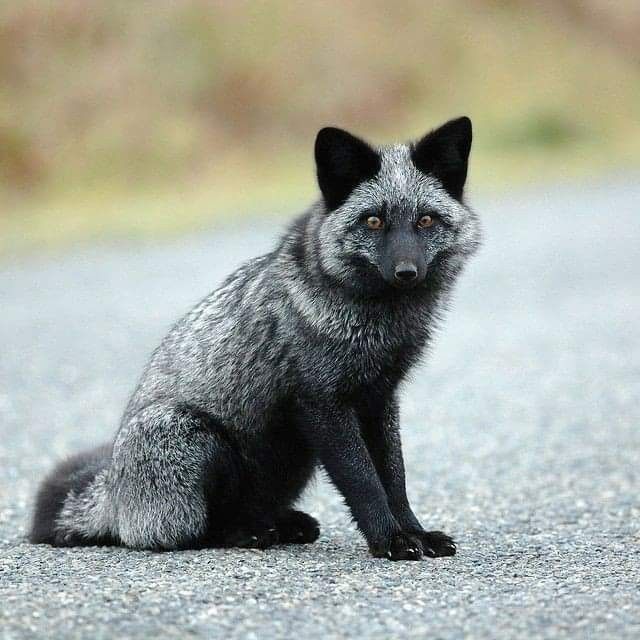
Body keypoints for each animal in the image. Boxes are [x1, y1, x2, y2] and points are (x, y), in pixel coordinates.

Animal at [30, 117, 481, 560]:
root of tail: (113, 497)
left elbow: (394, 477)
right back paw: (247, 534)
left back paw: (281, 524)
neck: (377, 323)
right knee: (190, 532)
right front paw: (391, 540)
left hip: (294, 457)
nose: (407, 272)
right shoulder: (322, 404)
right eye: (373, 221)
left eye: (425, 220)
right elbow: (365, 482)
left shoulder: (378, 398)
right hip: (194, 437)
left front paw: (415, 532)